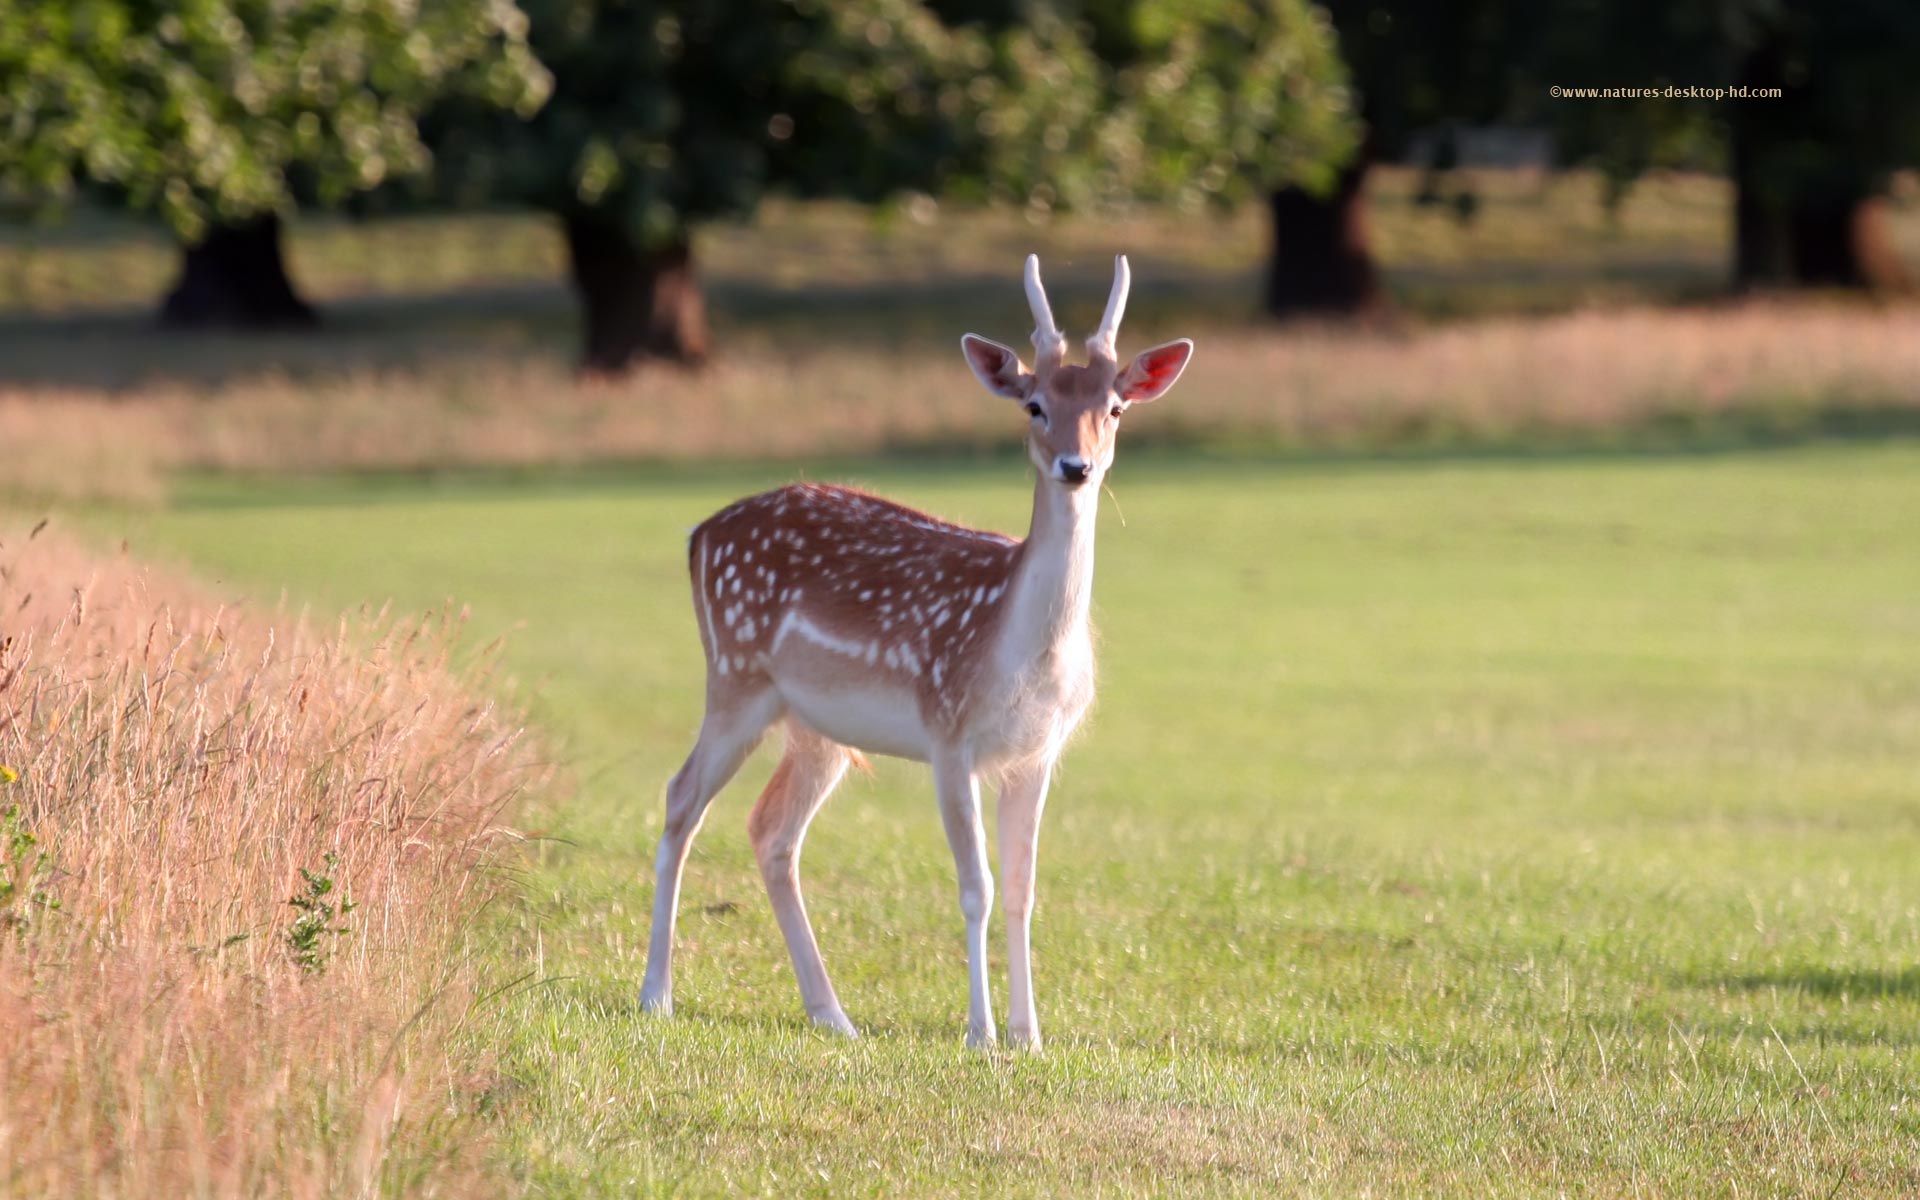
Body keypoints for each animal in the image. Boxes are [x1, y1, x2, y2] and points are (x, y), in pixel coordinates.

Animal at [637, 255, 1190, 1044]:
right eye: (1033, 405)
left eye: (1115, 407)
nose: (1076, 467)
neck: (1019, 654)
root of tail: (698, 534)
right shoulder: (948, 731)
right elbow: (975, 887)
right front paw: (981, 1033)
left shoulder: (1037, 752)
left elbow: (1022, 888)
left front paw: (1030, 1035)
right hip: (734, 676)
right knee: (682, 799)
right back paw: (656, 993)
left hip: (816, 727)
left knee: (771, 830)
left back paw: (831, 1013)